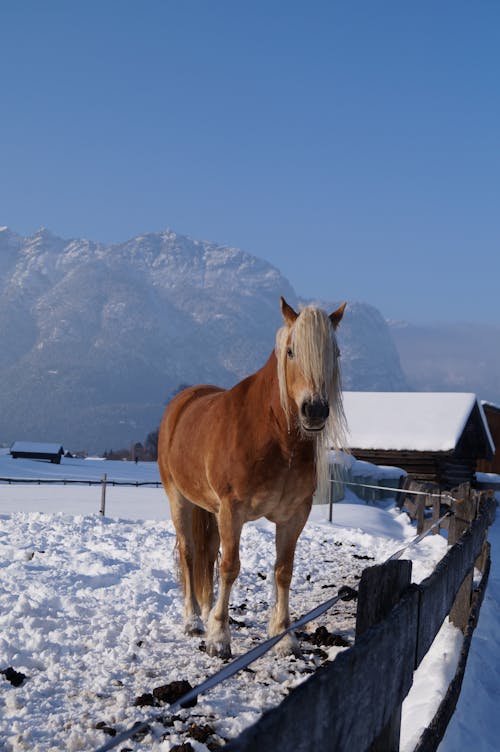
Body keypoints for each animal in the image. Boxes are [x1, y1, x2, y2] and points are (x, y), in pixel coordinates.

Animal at [158, 296, 346, 656]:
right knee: (190, 553)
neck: (274, 437)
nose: (315, 411)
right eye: (291, 351)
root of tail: (183, 402)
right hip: (180, 499)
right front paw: (219, 637)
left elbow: (283, 571)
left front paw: (284, 635)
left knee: (207, 556)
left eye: (336, 353)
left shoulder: (294, 516)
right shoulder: (233, 511)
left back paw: (206, 611)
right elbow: (231, 567)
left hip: (211, 510)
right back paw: (194, 621)